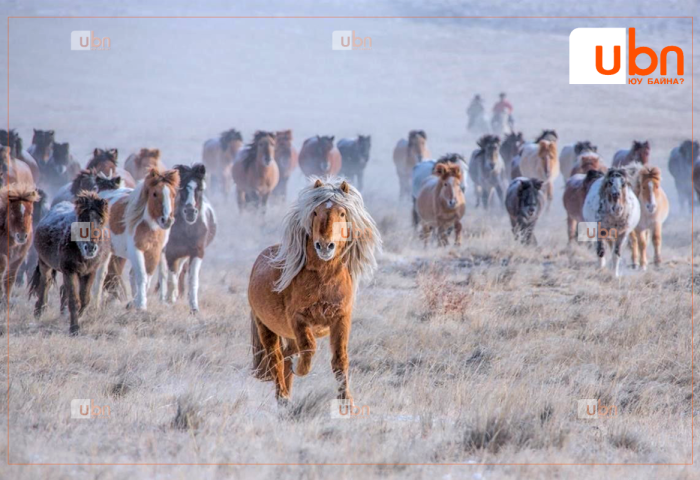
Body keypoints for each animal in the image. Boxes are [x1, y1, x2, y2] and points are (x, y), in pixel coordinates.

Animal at [250, 178, 382, 404]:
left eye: (342, 213)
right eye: (314, 212)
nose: (325, 246)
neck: (323, 280)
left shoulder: (341, 319)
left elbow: (340, 360)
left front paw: (346, 401)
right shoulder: (298, 319)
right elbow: (309, 348)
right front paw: (301, 368)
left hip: (288, 334)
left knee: (287, 355)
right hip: (266, 327)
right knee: (276, 358)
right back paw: (282, 396)